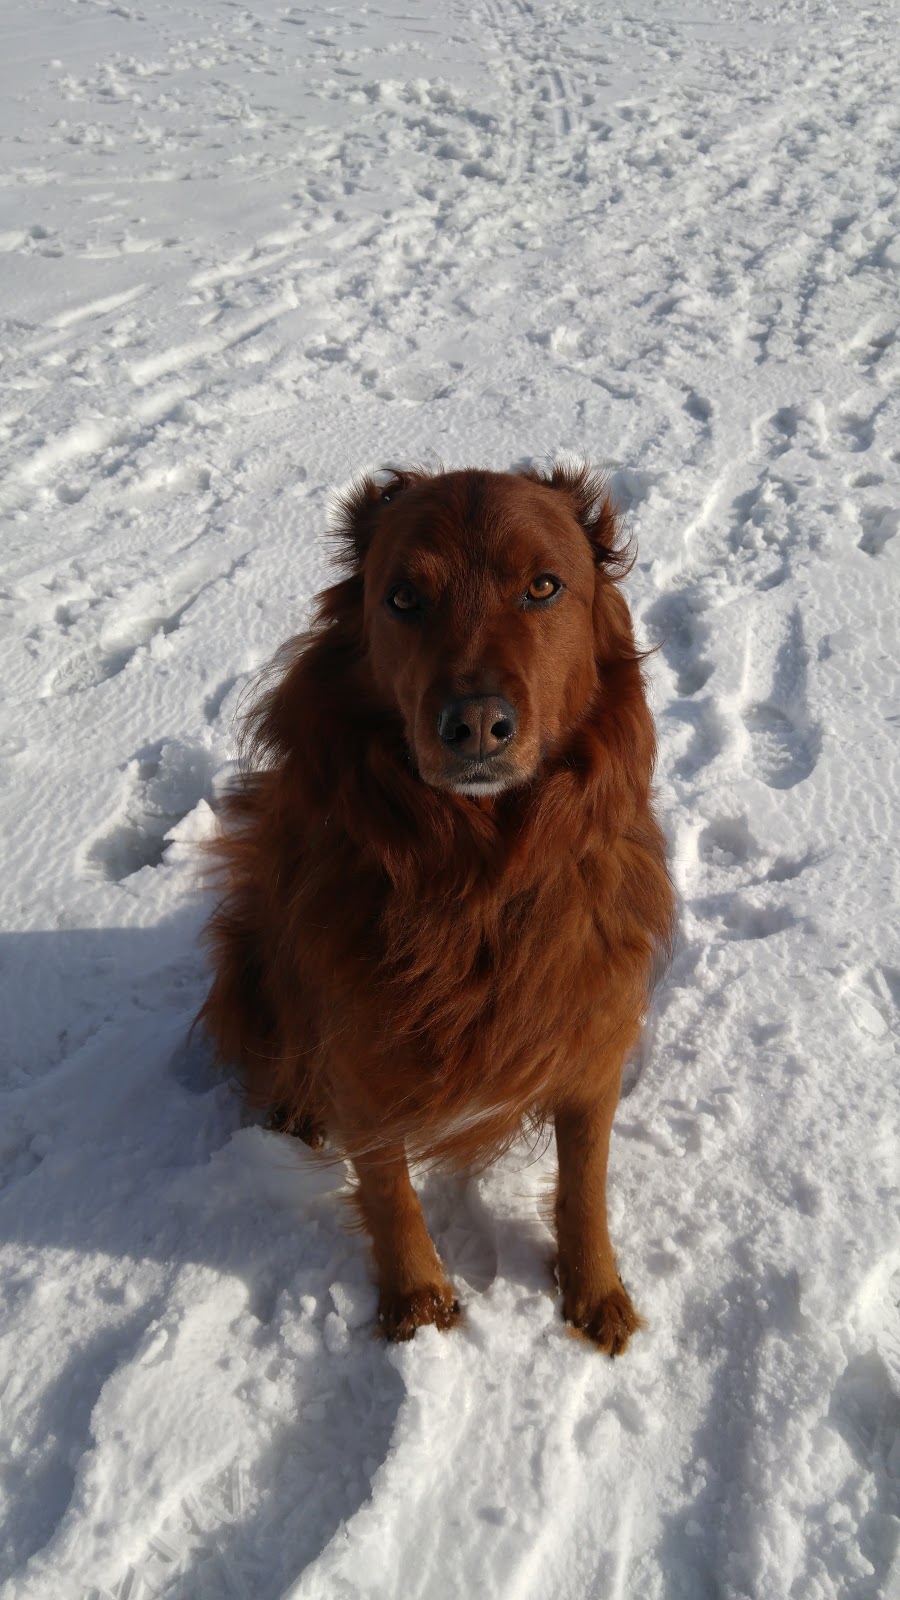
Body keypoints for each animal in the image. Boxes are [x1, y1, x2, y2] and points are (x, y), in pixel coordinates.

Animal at [197, 460, 672, 1350]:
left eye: (544, 586)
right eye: (404, 598)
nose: (476, 724)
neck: (476, 873)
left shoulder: (591, 1030)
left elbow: (584, 1180)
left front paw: (594, 1291)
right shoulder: (355, 1039)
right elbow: (386, 1183)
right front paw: (416, 1299)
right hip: (254, 951)